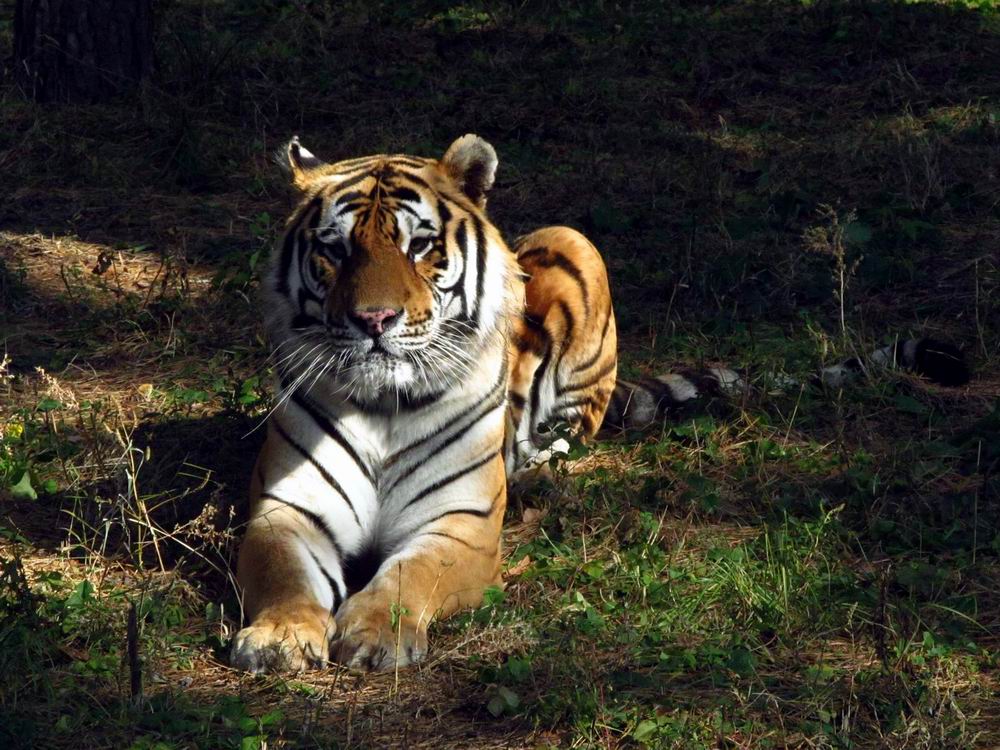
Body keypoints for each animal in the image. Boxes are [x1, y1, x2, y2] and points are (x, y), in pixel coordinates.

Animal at [232, 134, 968, 676]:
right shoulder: (284, 512)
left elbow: (409, 577)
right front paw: (276, 637)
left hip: (575, 247)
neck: (384, 404)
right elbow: (284, 578)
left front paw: (375, 634)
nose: (375, 320)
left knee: (574, 431)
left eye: (420, 245)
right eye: (334, 249)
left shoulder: (459, 525)